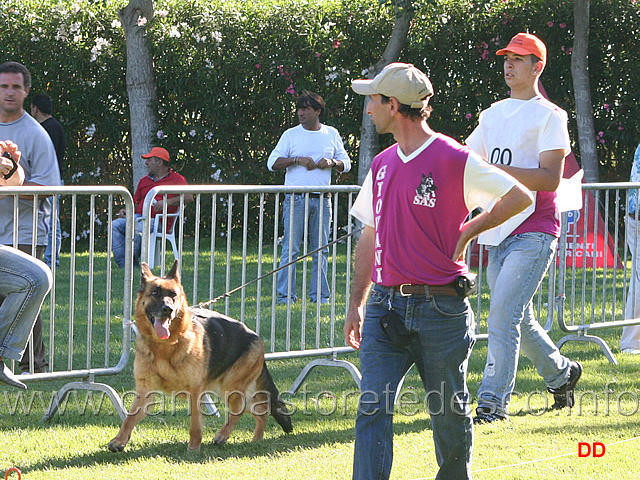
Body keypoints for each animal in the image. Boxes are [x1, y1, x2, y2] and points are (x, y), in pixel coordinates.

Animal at [108, 260, 292, 452]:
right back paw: (257, 439)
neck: (165, 347)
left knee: (241, 409)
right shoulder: (145, 391)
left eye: (173, 295)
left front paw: (194, 449)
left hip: (230, 387)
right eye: (155, 293)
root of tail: (256, 337)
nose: (168, 309)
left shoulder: (195, 391)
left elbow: (195, 424)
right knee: (260, 409)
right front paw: (119, 440)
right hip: (226, 388)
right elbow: (130, 418)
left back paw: (223, 435)